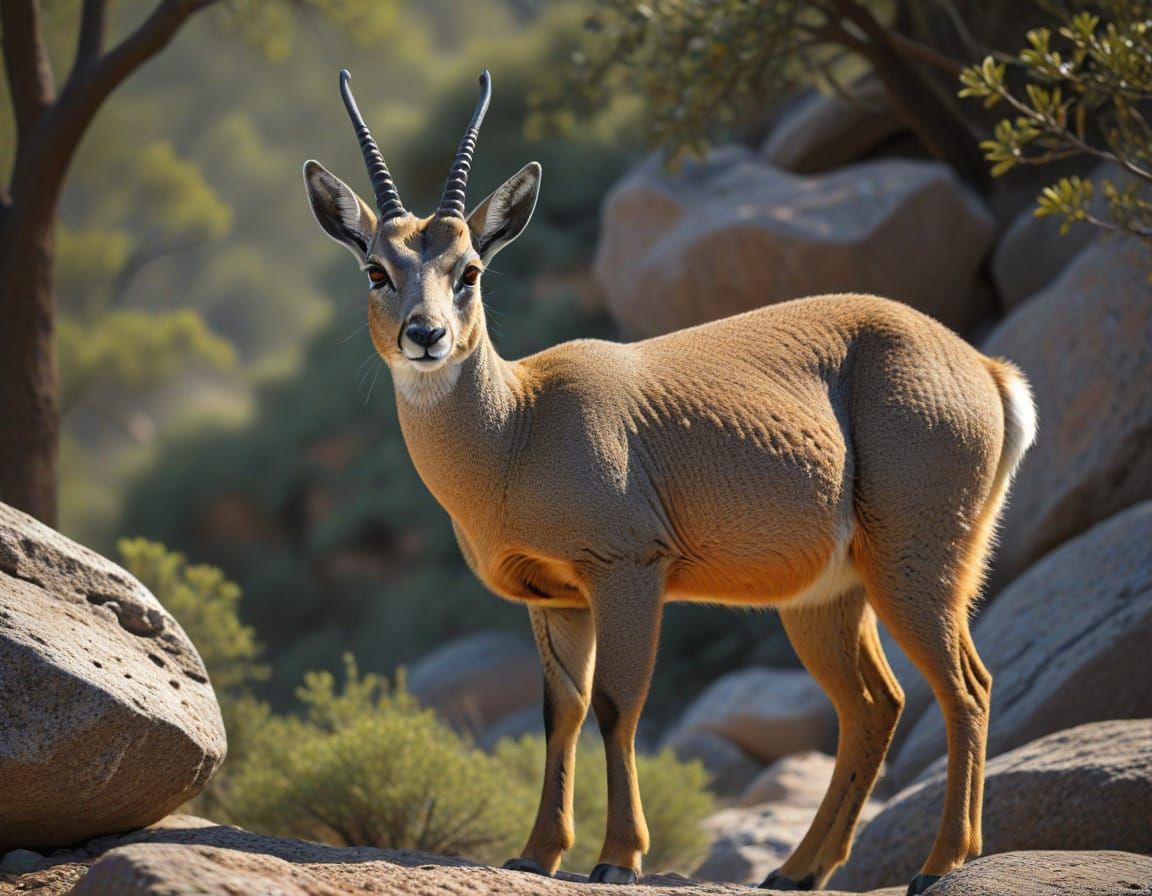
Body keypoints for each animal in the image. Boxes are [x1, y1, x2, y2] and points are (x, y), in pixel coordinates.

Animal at [303, 70, 1036, 895]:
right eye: (376, 268)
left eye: (469, 271)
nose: (424, 336)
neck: (519, 426)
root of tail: (983, 367)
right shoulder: (554, 599)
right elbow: (562, 712)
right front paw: (537, 851)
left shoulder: (628, 572)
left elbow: (618, 707)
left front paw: (618, 857)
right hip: (827, 598)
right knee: (875, 704)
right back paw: (797, 870)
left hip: (916, 567)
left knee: (965, 686)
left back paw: (940, 863)